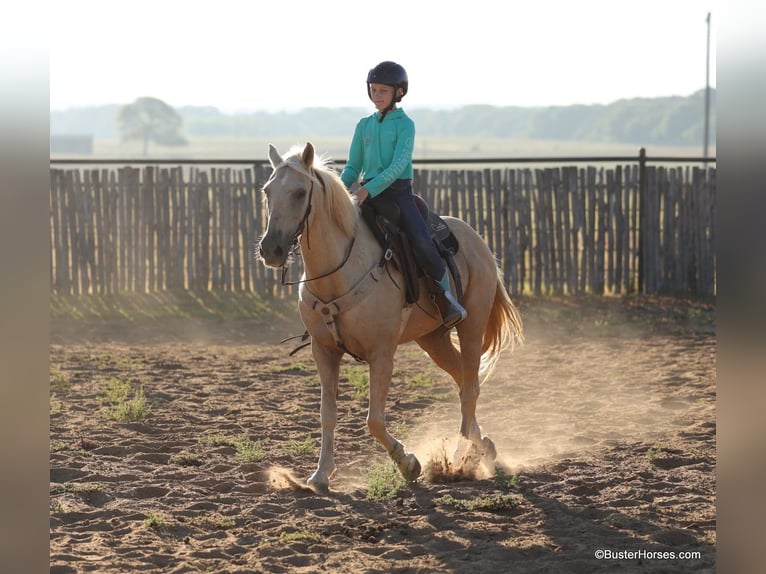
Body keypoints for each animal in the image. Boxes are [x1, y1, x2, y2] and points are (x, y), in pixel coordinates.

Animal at [257, 142, 524, 490]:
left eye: (301, 192)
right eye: (267, 191)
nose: (270, 249)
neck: (340, 270)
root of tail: (476, 240)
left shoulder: (381, 354)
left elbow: (374, 420)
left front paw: (408, 463)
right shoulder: (323, 351)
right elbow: (327, 413)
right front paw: (321, 474)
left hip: (471, 325)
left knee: (471, 388)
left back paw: (459, 456)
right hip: (433, 339)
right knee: (464, 379)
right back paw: (482, 446)